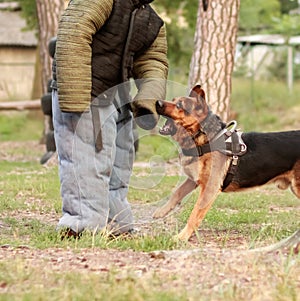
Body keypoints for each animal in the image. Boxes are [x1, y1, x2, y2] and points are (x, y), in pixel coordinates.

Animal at [154, 84, 300, 241]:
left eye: (179, 105)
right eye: (173, 100)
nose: (157, 102)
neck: (206, 139)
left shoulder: (210, 188)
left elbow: (194, 214)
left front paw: (181, 236)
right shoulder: (194, 180)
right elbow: (177, 193)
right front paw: (162, 211)